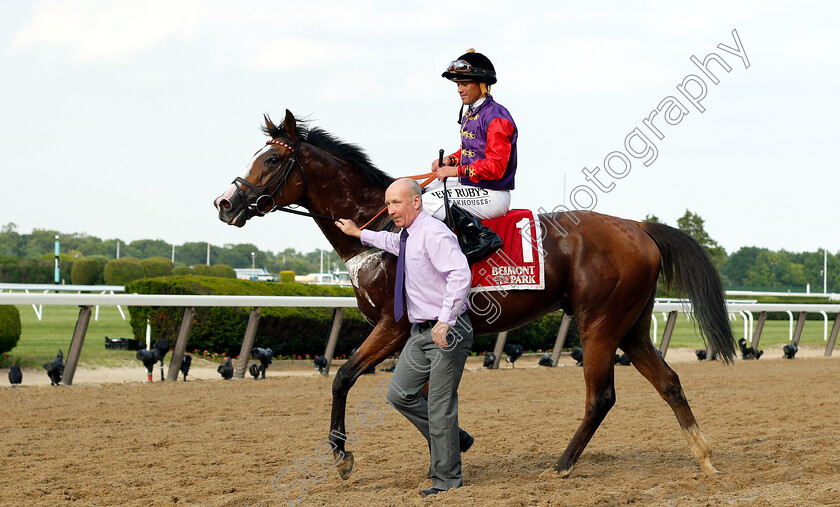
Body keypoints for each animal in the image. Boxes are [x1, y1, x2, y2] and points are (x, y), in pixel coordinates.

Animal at [212, 110, 736, 480]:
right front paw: (451, 448)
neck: (384, 229)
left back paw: (562, 464)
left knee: (600, 397)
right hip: (631, 326)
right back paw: (705, 458)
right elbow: (420, 395)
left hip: (599, 324)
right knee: (669, 382)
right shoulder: (418, 334)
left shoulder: (393, 327)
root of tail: (639, 227)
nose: (225, 203)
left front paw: (342, 455)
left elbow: (343, 378)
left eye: (272, 159)